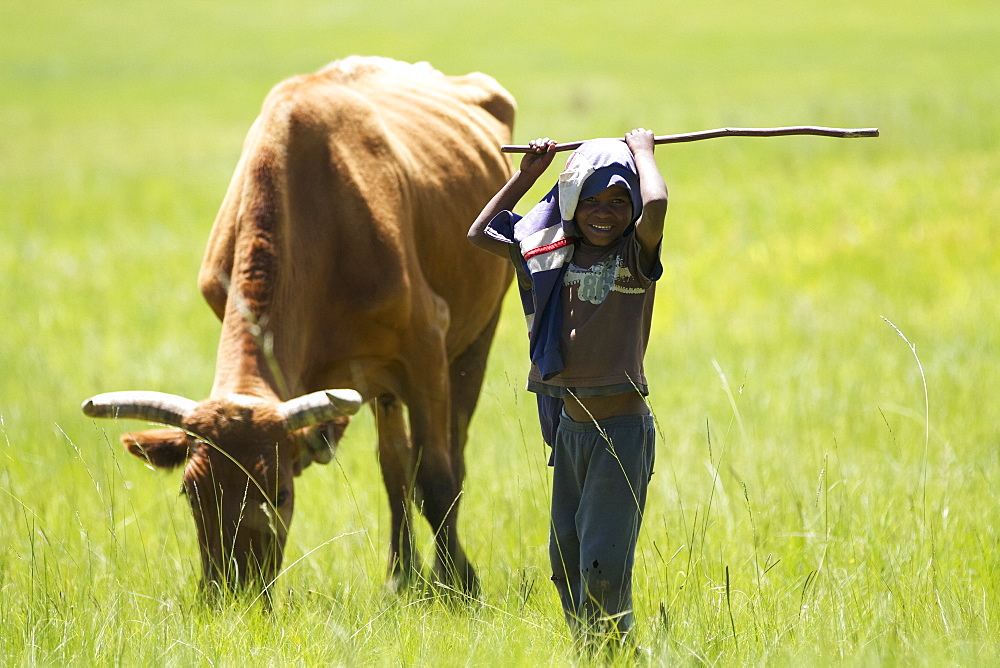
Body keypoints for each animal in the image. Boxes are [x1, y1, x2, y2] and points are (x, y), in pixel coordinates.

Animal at [81, 57, 512, 596]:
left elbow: (437, 477)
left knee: (449, 451)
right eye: (191, 493)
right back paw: (401, 574)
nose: (234, 594)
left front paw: (461, 583)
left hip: (475, 338)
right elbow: (403, 470)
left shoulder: (426, 344)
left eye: (281, 493)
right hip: (383, 382)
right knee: (395, 464)